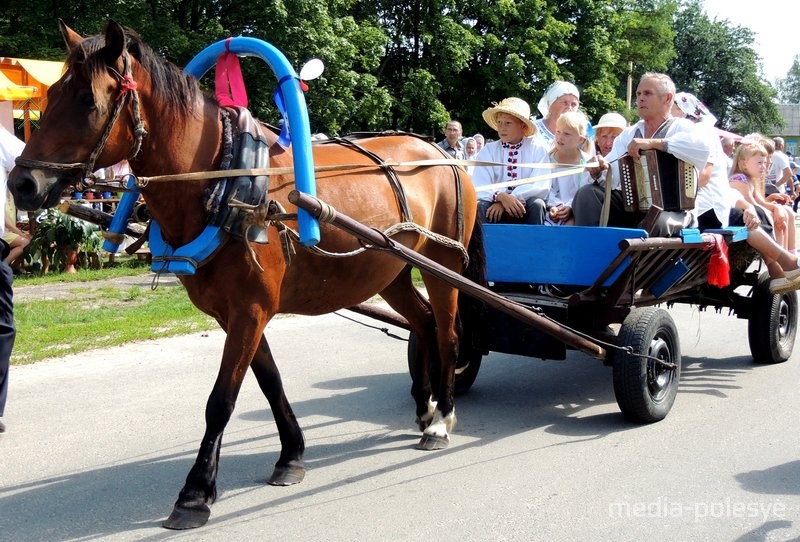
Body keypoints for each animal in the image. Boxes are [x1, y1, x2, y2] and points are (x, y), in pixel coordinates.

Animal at [9, 21, 484, 532]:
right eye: (52, 93)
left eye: (86, 99)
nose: (22, 184)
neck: (225, 183)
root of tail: (442, 153)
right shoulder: (232, 313)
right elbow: (269, 381)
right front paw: (291, 455)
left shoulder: (251, 310)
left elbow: (221, 400)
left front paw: (195, 493)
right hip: (388, 270)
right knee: (423, 323)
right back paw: (424, 406)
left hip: (443, 265)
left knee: (448, 335)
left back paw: (441, 420)